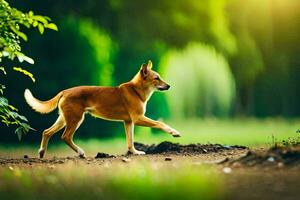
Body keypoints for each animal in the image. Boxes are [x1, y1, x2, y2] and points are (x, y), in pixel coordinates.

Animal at [24, 61, 179, 158]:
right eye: (156, 78)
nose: (169, 86)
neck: (136, 91)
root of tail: (64, 91)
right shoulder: (138, 118)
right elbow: (159, 123)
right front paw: (174, 132)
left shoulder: (128, 122)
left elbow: (130, 141)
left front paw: (135, 152)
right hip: (76, 119)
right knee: (65, 136)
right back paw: (80, 152)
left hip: (64, 119)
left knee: (47, 132)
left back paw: (42, 152)